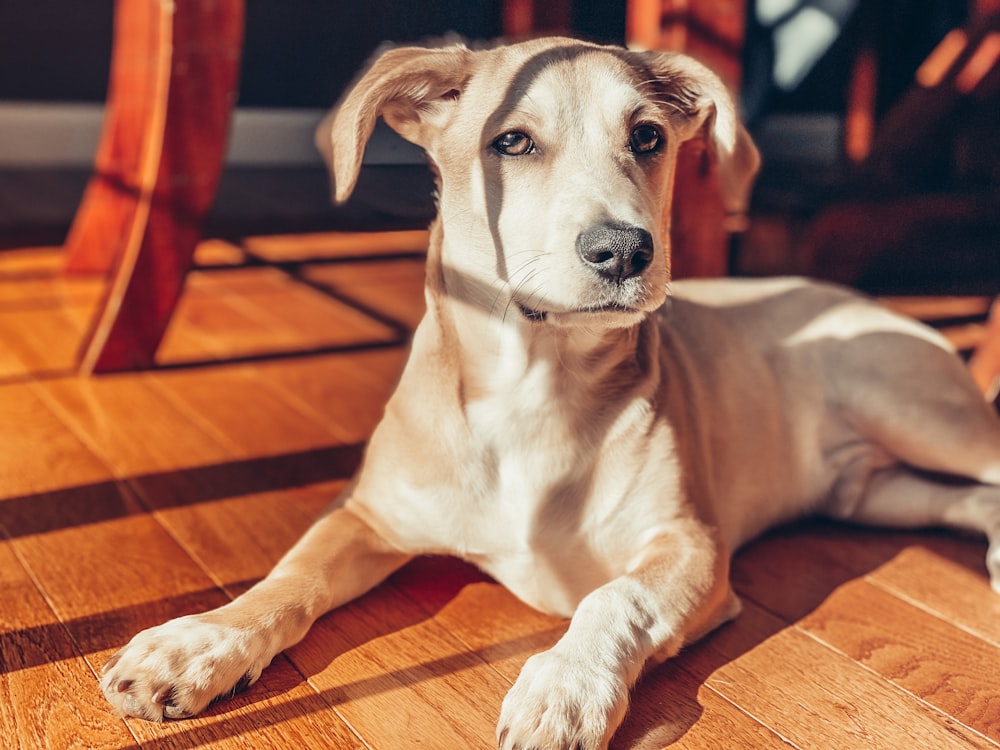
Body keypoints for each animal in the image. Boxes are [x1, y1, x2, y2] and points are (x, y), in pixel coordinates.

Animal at [99, 36, 1000, 750]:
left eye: (648, 136)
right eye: (513, 141)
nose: (624, 251)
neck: (535, 389)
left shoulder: (690, 547)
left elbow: (613, 597)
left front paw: (565, 686)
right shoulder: (368, 514)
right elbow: (291, 577)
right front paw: (197, 645)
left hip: (914, 410)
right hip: (872, 491)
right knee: (968, 500)